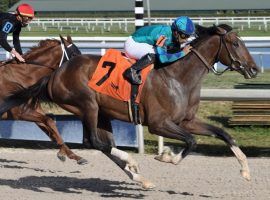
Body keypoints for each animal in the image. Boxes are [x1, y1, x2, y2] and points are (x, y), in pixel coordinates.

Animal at [0, 35, 86, 165]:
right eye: (74, 54)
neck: (22, 77)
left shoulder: (34, 111)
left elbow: (50, 127)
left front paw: (72, 155)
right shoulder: (21, 113)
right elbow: (49, 122)